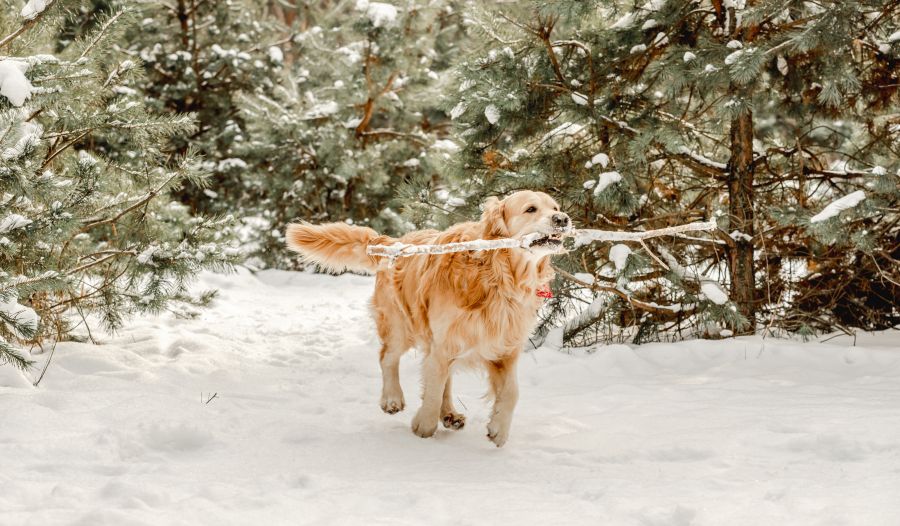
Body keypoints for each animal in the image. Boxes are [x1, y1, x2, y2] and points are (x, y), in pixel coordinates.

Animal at [284, 192, 572, 448]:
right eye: (531, 209)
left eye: (555, 207)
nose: (563, 219)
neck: (499, 275)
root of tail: (396, 242)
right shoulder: (444, 342)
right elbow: (433, 389)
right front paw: (424, 426)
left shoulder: (504, 348)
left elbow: (511, 392)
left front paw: (498, 430)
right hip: (401, 326)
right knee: (388, 358)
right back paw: (393, 398)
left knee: (444, 377)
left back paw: (450, 414)